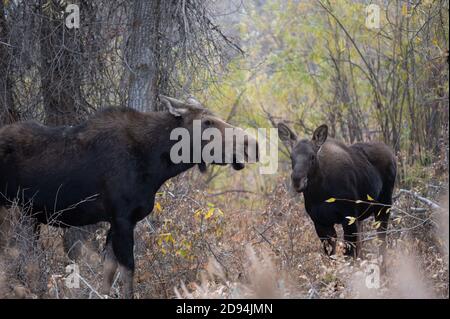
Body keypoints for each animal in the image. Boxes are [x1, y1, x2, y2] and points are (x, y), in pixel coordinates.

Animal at [0, 96, 258, 298]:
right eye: (207, 122)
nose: (252, 144)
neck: (157, 164)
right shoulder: (122, 218)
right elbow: (128, 272)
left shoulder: (118, 222)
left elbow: (108, 274)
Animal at [276, 122, 396, 260]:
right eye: (291, 156)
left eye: (312, 156)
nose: (297, 180)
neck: (319, 193)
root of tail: (391, 153)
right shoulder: (320, 222)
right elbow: (331, 256)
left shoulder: (348, 217)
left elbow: (349, 256)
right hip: (362, 217)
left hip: (384, 205)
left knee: (382, 243)